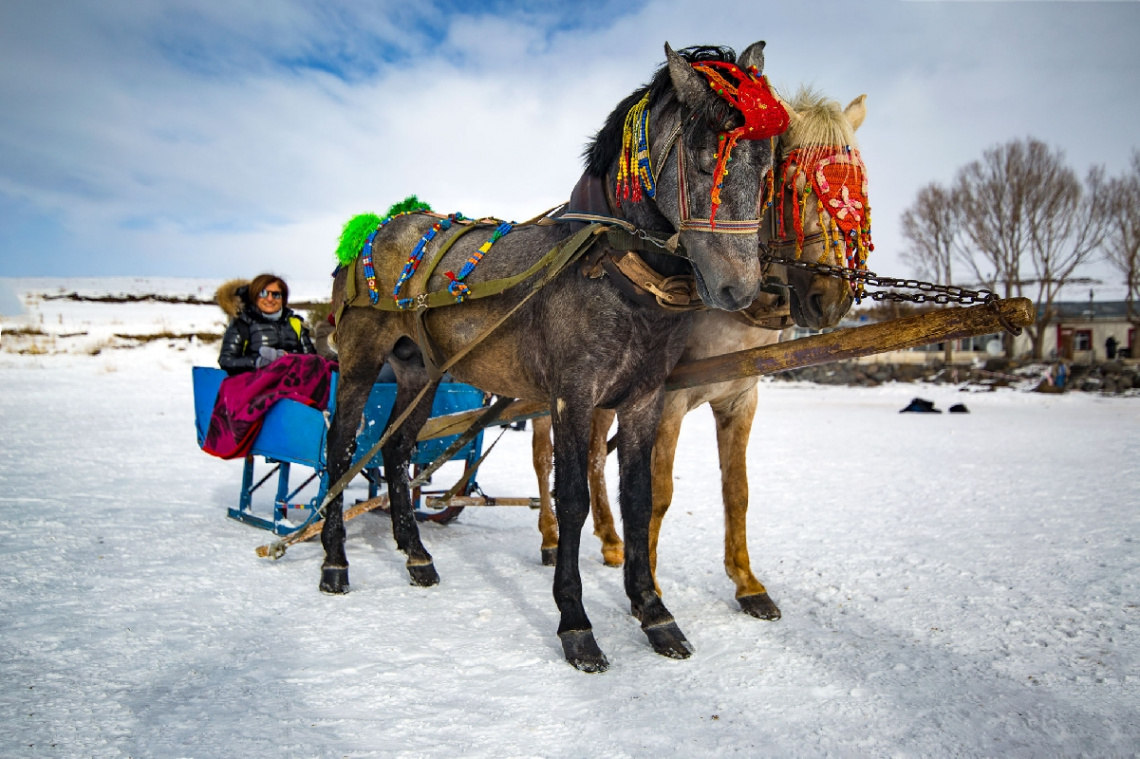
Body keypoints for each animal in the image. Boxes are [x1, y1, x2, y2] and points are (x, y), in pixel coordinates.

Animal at [319, 42, 784, 670]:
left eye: (766, 167)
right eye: (706, 158)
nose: (740, 290)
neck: (613, 271)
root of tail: (372, 232)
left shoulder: (643, 399)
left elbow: (638, 499)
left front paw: (654, 614)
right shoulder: (573, 398)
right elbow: (571, 499)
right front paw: (577, 625)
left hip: (423, 373)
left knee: (396, 450)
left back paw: (415, 555)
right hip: (362, 362)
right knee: (342, 448)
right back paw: (333, 560)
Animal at [528, 87, 866, 619]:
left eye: (860, 188)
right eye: (789, 188)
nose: (831, 300)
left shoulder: (740, 399)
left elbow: (737, 490)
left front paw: (747, 582)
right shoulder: (667, 398)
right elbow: (660, 491)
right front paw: (650, 587)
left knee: (594, 460)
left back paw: (609, 539)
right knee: (545, 461)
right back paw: (549, 536)